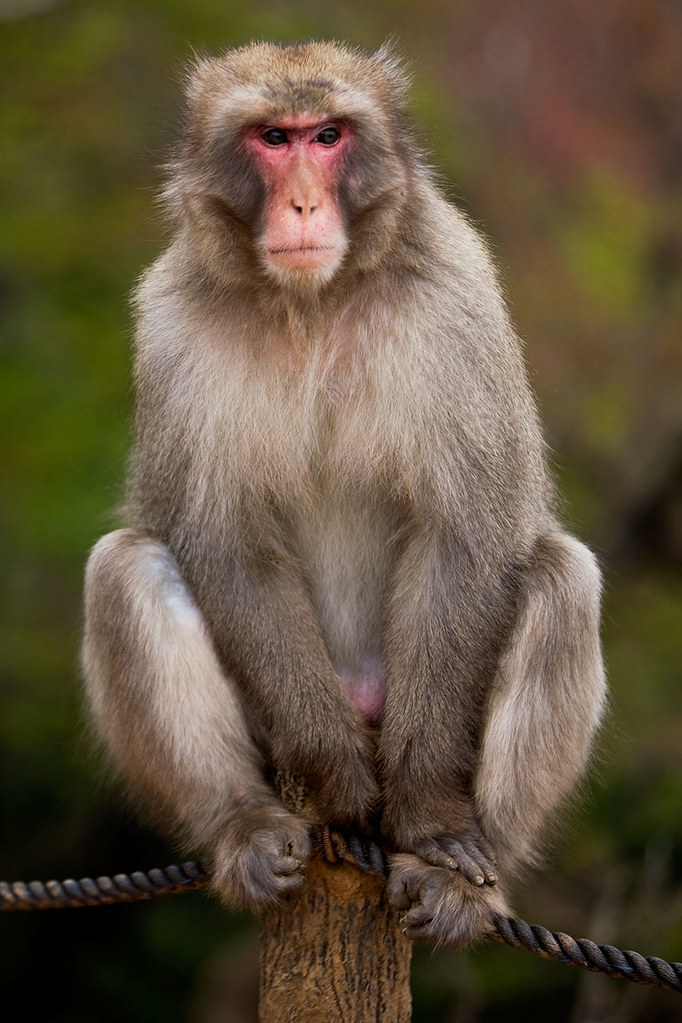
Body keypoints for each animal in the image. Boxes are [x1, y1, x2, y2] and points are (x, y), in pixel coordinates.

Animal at [82, 40, 606, 946]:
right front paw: (340, 783)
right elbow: (225, 545)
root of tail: (361, 693)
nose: (301, 201)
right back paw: (247, 825)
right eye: (273, 137)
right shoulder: (172, 324)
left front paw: (429, 817)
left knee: (561, 577)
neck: (314, 302)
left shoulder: (454, 296)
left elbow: (465, 534)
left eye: (327, 136)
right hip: (276, 724)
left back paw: (466, 874)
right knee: (124, 567)